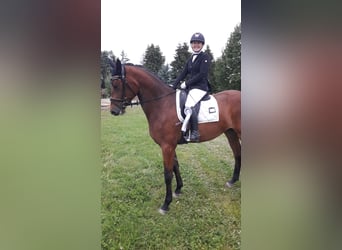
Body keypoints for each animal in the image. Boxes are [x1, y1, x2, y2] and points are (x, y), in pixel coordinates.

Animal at [109, 58, 240, 213]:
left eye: (116, 85)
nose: (113, 111)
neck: (162, 104)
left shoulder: (167, 146)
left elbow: (167, 174)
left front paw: (166, 204)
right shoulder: (171, 146)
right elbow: (176, 166)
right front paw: (178, 190)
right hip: (230, 132)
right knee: (237, 153)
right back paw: (232, 181)